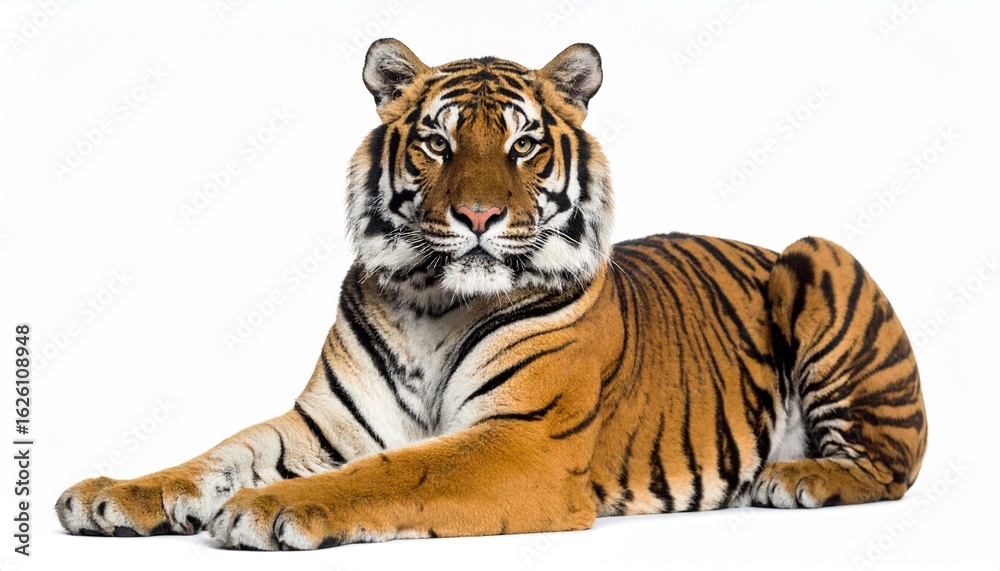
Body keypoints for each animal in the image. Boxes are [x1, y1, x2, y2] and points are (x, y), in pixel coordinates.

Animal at [55, 39, 927, 550]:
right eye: (438, 141)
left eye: (525, 144)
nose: (478, 215)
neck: (435, 305)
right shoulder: (328, 425)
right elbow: (216, 453)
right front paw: (110, 494)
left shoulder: (521, 439)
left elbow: (396, 473)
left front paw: (268, 507)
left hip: (818, 256)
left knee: (892, 464)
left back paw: (798, 479)